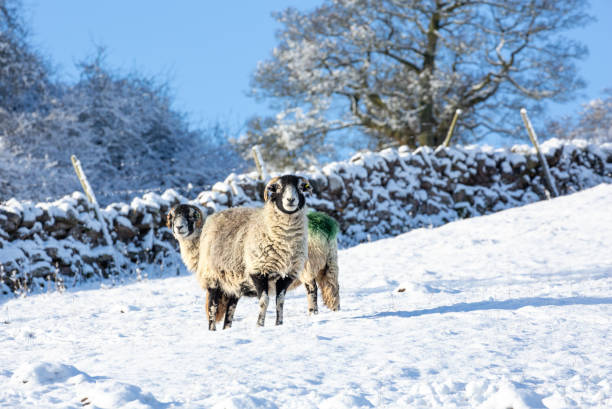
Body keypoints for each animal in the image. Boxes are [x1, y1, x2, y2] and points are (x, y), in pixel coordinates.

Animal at [167, 175, 310, 328]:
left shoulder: (287, 275)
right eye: (278, 187)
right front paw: (264, 325)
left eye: (300, 187)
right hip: (214, 279)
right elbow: (265, 301)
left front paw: (273, 325)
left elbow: (279, 302)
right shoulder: (257, 272)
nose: (291, 200)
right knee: (213, 309)